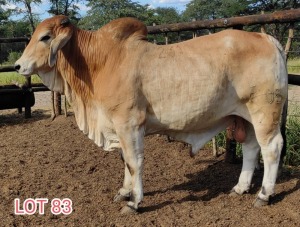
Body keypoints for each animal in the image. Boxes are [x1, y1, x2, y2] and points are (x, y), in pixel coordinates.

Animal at [15, 15, 288, 215]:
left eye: (45, 37)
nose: (18, 66)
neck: (99, 64)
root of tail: (266, 38)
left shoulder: (129, 123)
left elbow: (134, 161)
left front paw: (134, 201)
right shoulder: (118, 126)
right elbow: (124, 160)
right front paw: (124, 192)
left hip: (264, 111)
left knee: (271, 147)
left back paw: (264, 194)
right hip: (245, 116)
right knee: (251, 148)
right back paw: (240, 187)